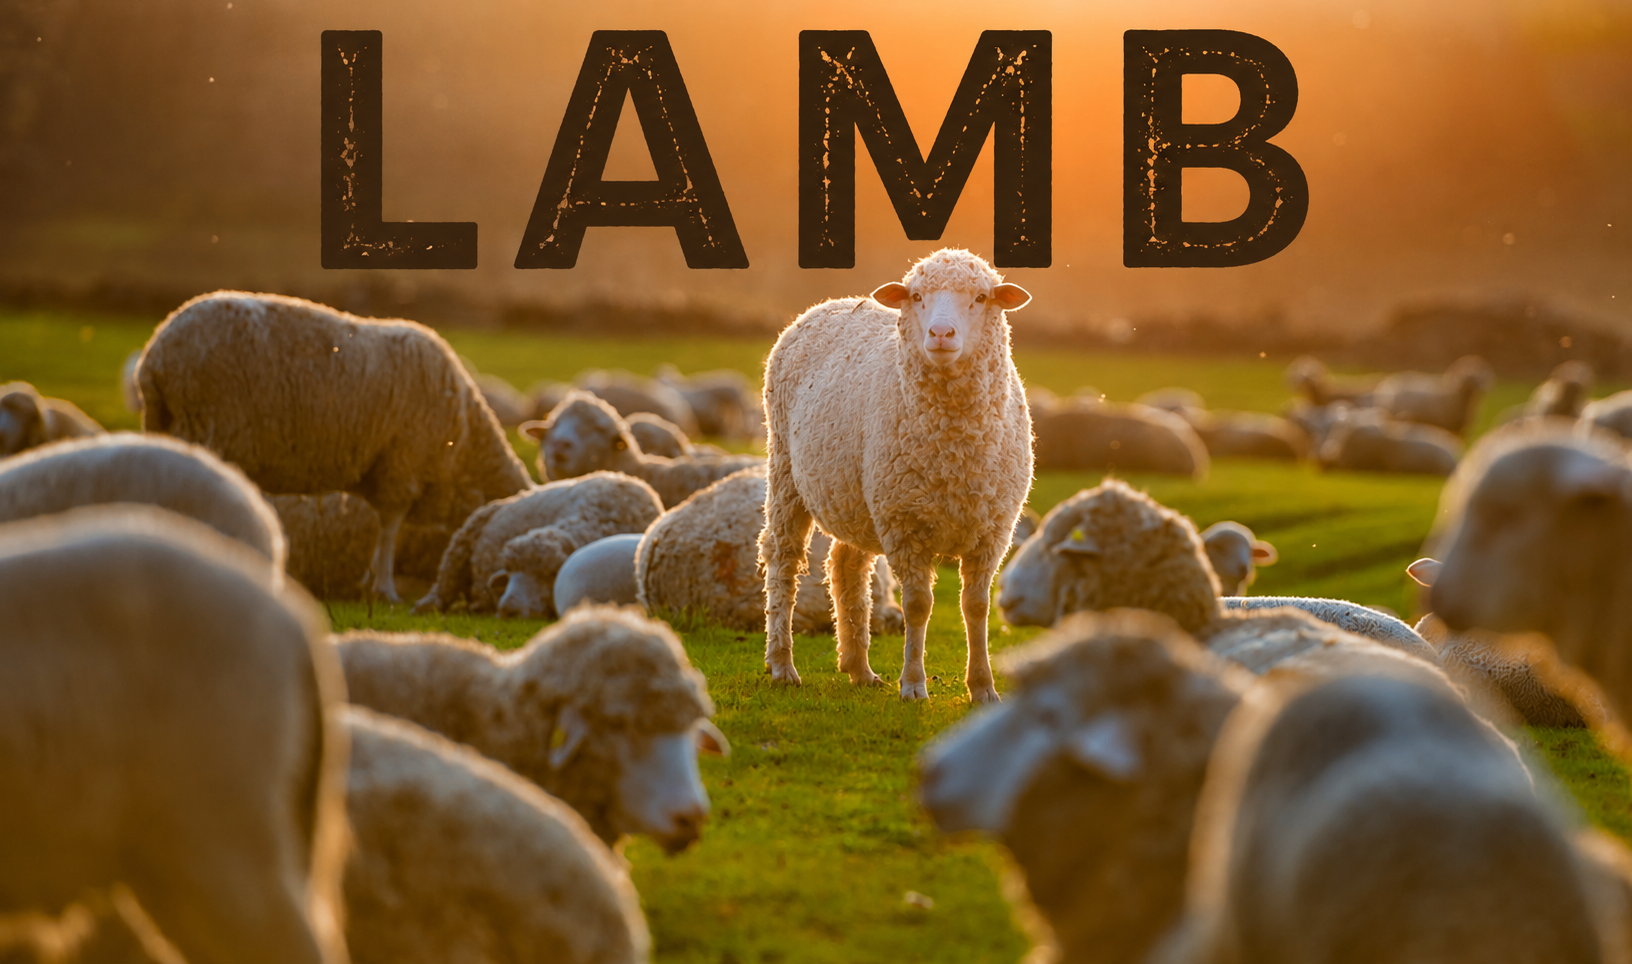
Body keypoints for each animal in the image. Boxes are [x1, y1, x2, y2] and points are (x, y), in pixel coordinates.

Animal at [411, 471, 664, 619]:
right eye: (509, 571)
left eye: (550, 574)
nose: (508, 609)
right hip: (463, 538)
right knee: (446, 578)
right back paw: (427, 604)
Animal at [759, 249, 1034, 702]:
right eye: (917, 296)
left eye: (981, 298)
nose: (941, 333)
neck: (954, 448)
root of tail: (831, 303)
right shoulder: (905, 524)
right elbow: (918, 606)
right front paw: (914, 684)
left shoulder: (992, 530)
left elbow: (976, 606)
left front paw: (983, 687)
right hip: (785, 470)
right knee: (782, 559)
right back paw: (782, 665)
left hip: (857, 497)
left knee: (846, 566)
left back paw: (859, 668)